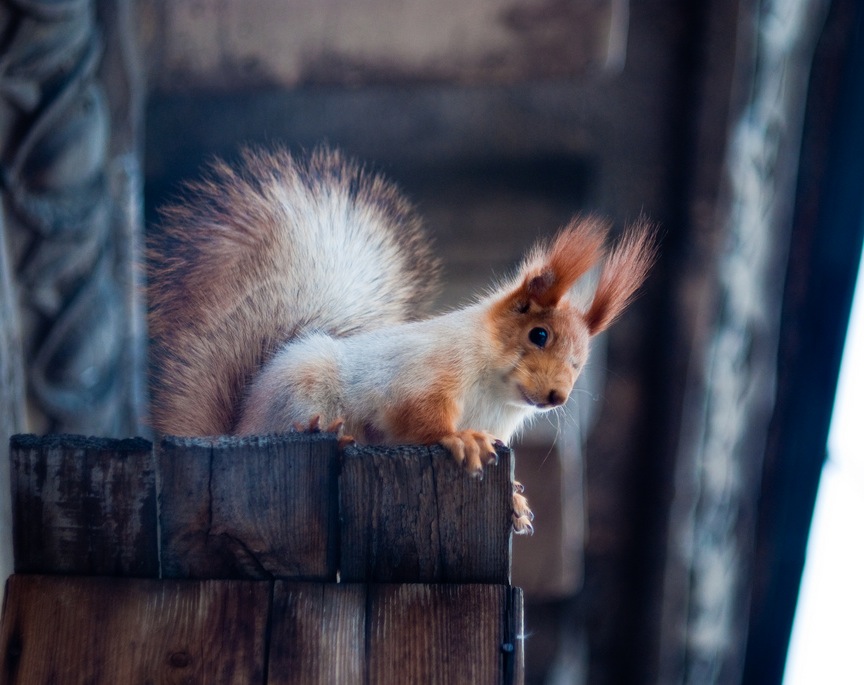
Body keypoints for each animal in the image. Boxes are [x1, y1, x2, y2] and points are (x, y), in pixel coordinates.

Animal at [147, 147, 656, 536]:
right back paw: (324, 435)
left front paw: (514, 502)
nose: (556, 397)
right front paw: (458, 438)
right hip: (299, 394)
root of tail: (237, 428)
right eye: (539, 334)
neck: (495, 392)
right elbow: (417, 417)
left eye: (580, 362)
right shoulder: (423, 374)